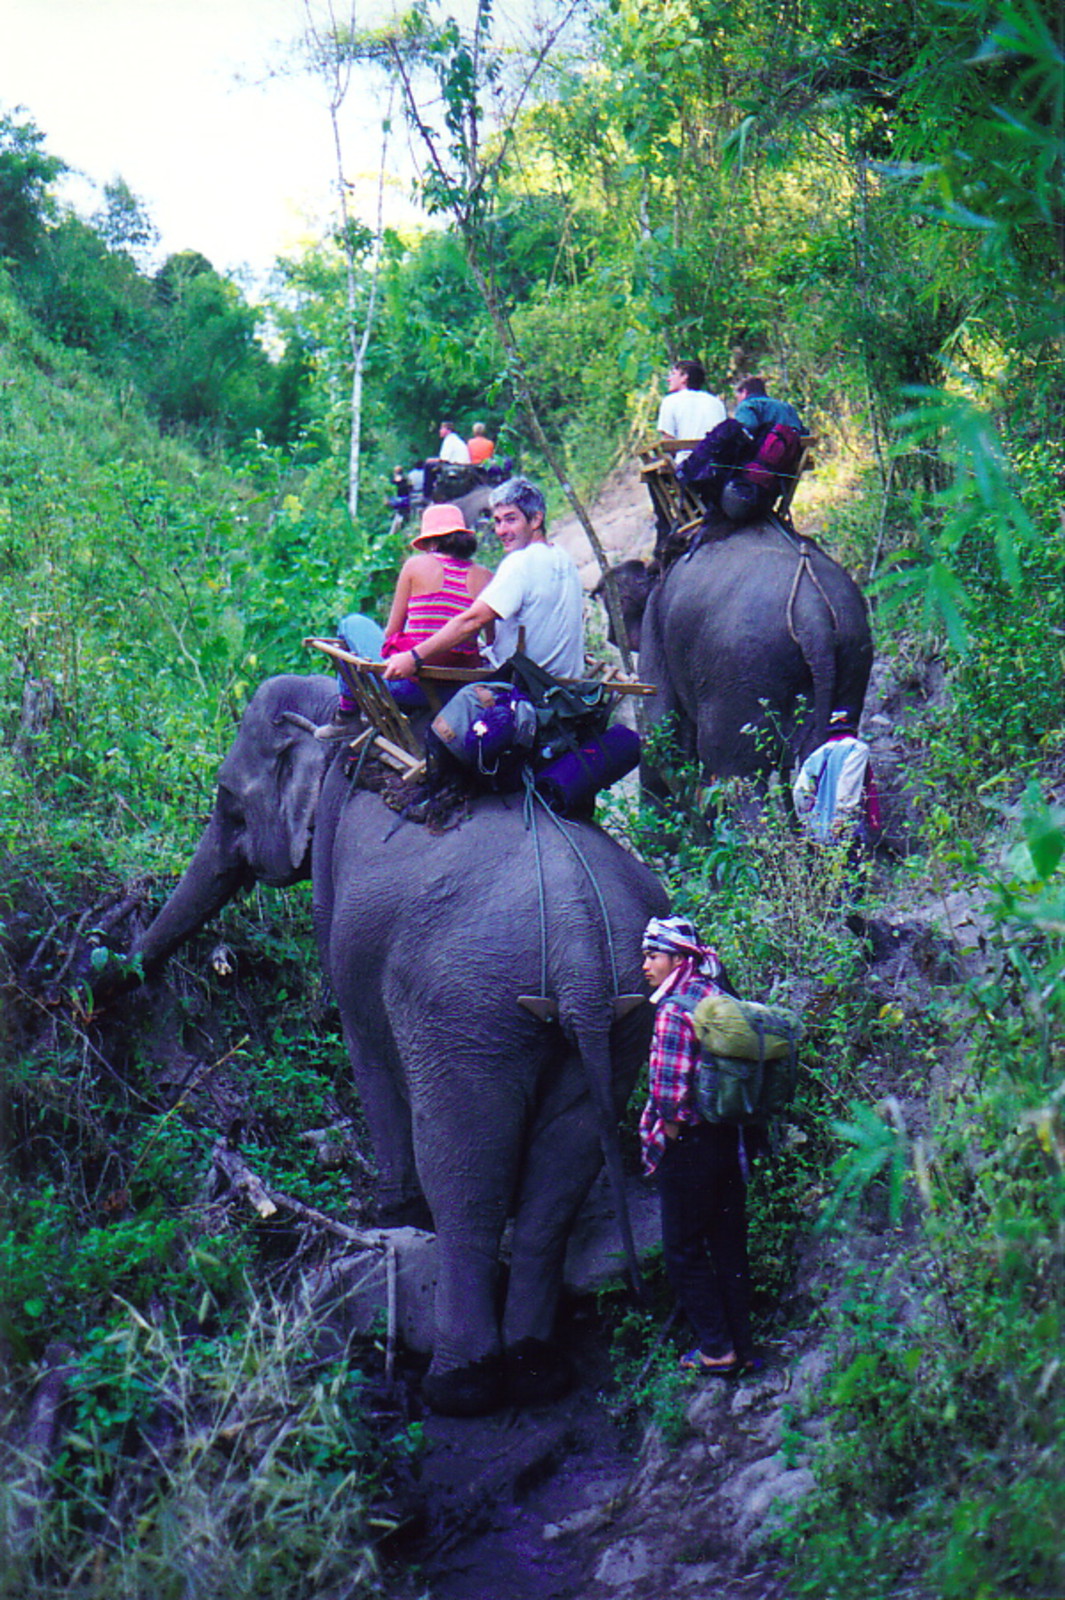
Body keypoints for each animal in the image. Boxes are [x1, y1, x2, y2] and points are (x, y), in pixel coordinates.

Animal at [122, 672, 665, 1414]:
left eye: (229, 802)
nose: (110, 974)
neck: (338, 714)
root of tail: (578, 943)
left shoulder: (334, 876)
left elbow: (364, 1042)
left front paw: (390, 1208)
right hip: (615, 1014)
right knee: (558, 1179)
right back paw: (536, 1371)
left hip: (466, 1008)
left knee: (465, 1176)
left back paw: (458, 1385)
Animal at [601, 521, 869, 790]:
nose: (610, 634)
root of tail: (812, 615)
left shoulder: (653, 627)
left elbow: (660, 727)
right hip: (851, 649)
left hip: (740, 671)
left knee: (733, 771)